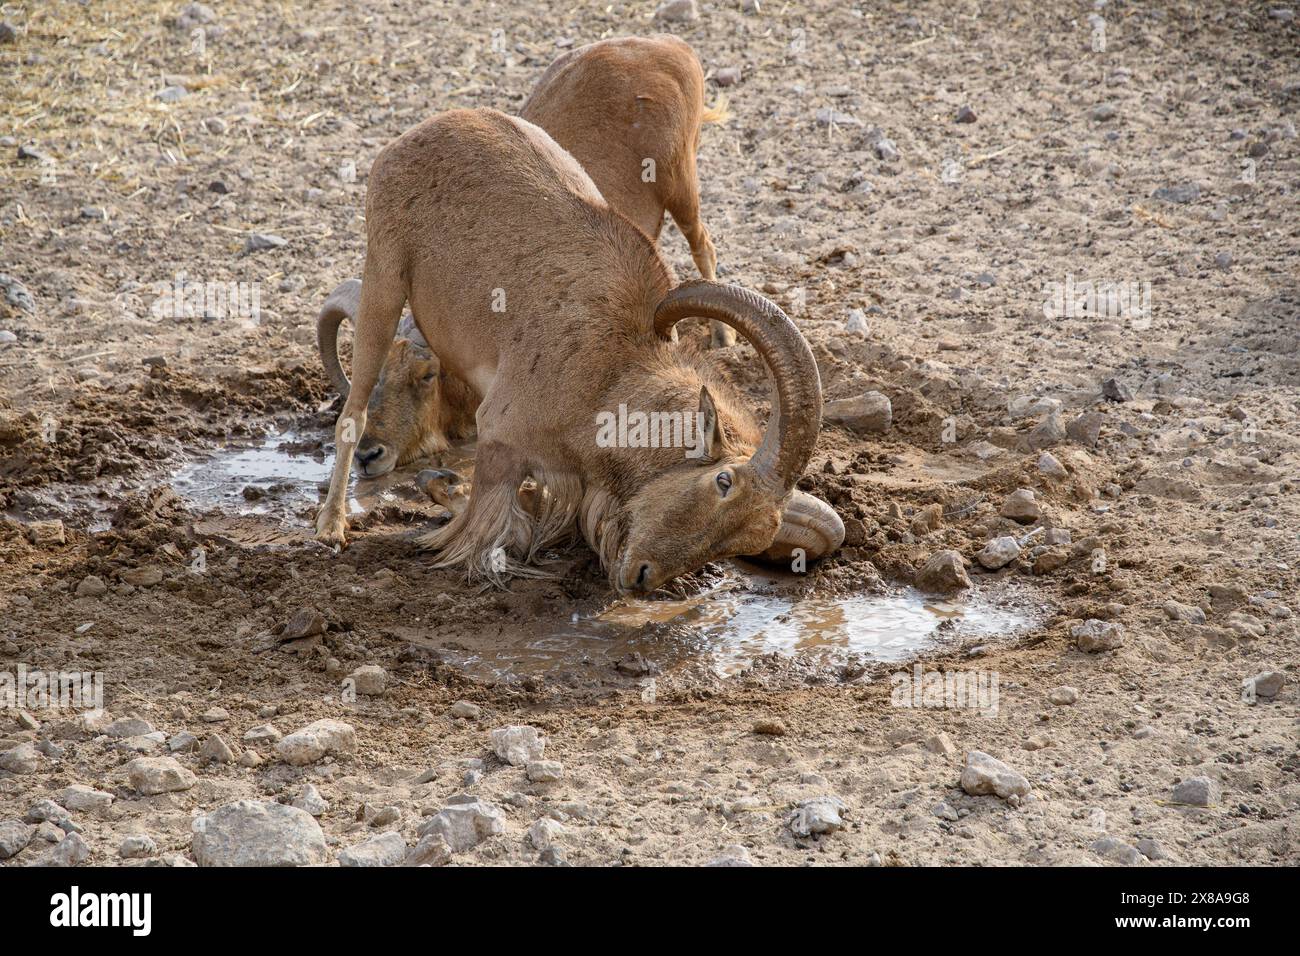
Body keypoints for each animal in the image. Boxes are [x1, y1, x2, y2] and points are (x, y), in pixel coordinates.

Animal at [314, 108, 842, 595]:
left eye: (751, 538)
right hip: (384, 275)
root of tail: (424, 129)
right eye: (723, 482)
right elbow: (487, 528)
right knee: (353, 413)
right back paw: (331, 526)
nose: (641, 577)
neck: (611, 374)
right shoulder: (500, 436)